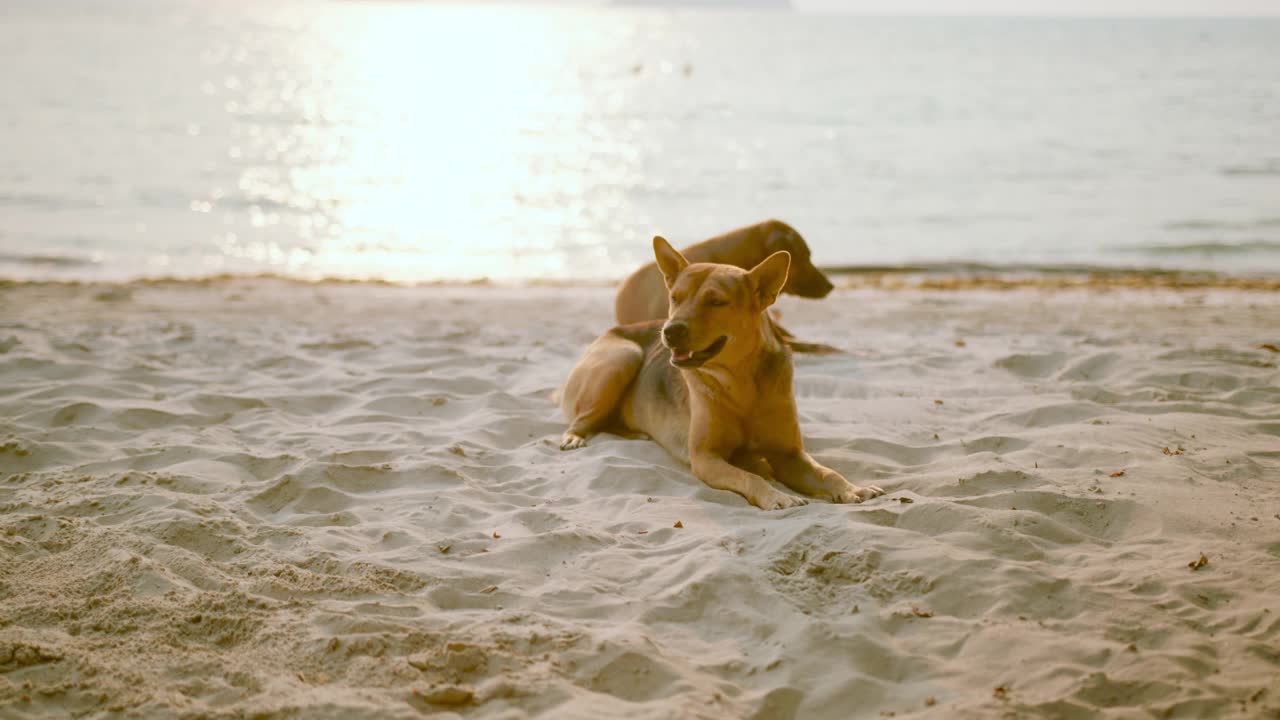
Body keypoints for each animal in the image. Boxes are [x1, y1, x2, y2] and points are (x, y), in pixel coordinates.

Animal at [560, 238, 880, 507]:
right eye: (675, 298)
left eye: (716, 302)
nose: (670, 331)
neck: (740, 382)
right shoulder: (706, 458)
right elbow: (750, 476)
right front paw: (776, 496)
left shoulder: (789, 454)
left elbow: (828, 473)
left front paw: (853, 488)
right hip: (622, 358)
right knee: (582, 419)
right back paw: (575, 437)